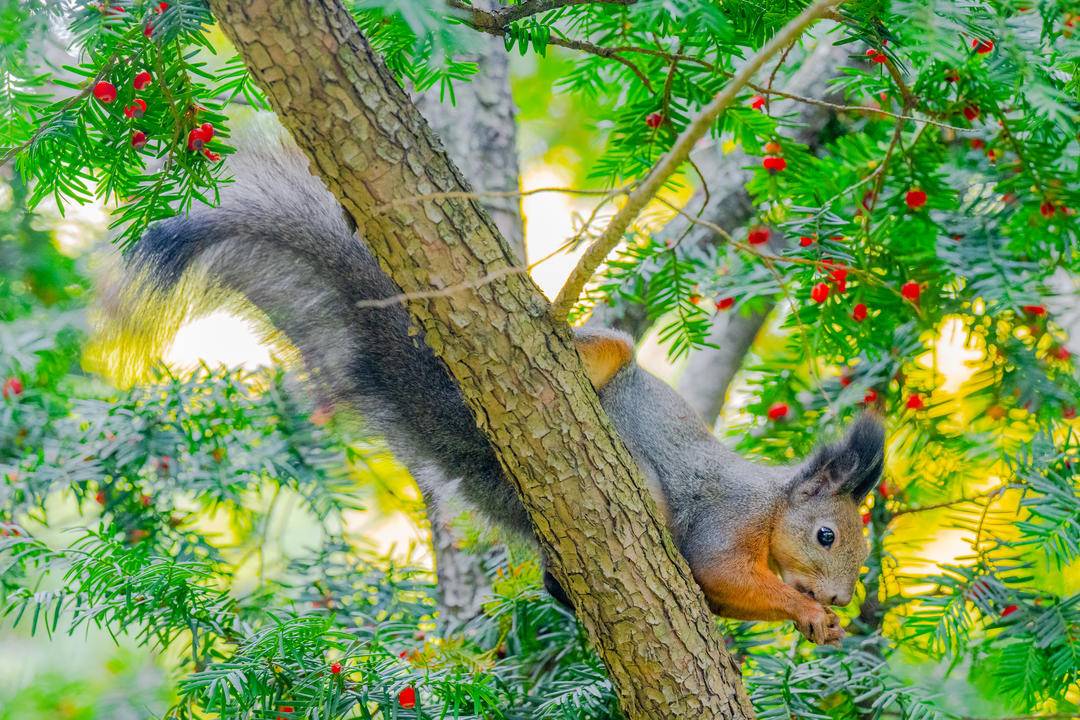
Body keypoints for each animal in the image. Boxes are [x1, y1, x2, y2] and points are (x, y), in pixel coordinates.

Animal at [107, 115, 885, 643]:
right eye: (826, 535)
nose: (841, 600)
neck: (771, 507)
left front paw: (817, 626)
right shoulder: (726, 522)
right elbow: (720, 573)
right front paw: (804, 610)